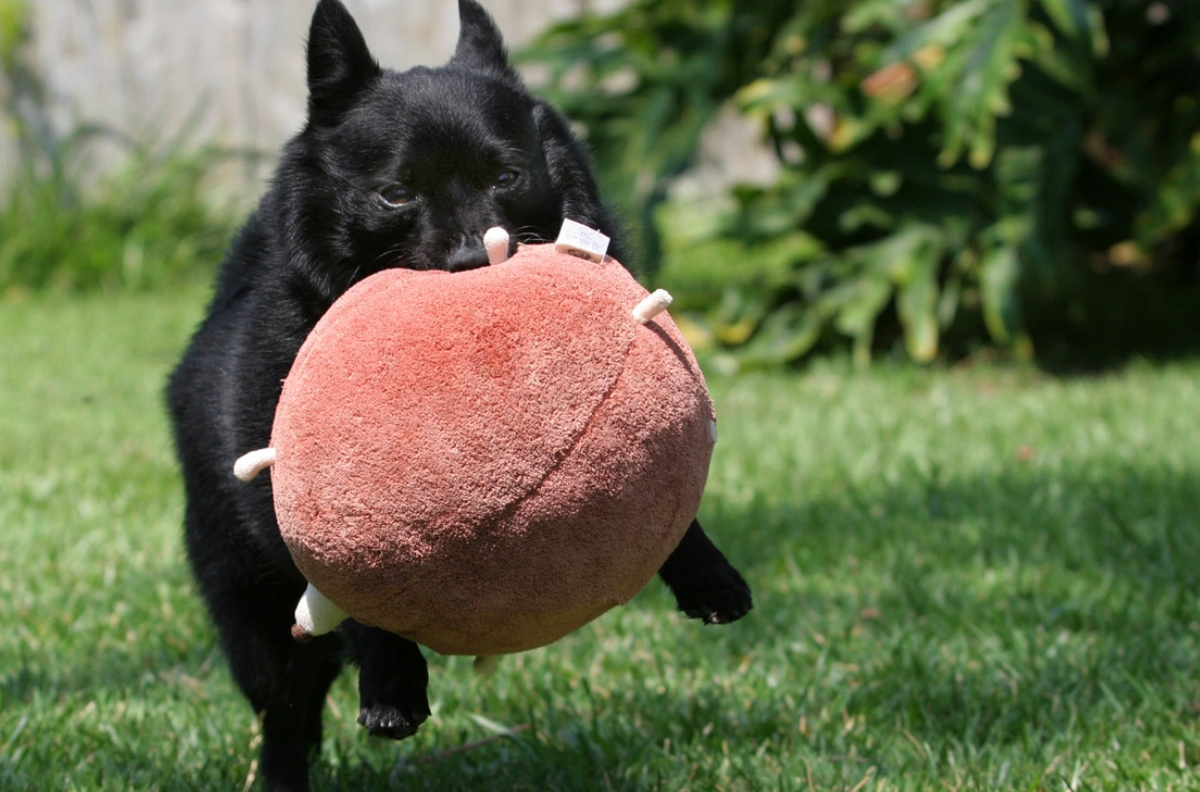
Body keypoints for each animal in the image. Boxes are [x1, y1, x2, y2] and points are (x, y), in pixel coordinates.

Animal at [169, 3, 748, 787]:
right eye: (396, 193)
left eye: (507, 174)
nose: (476, 258)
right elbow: (356, 591)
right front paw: (390, 683)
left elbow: (672, 505)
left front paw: (708, 574)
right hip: (249, 608)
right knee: (283, 708)